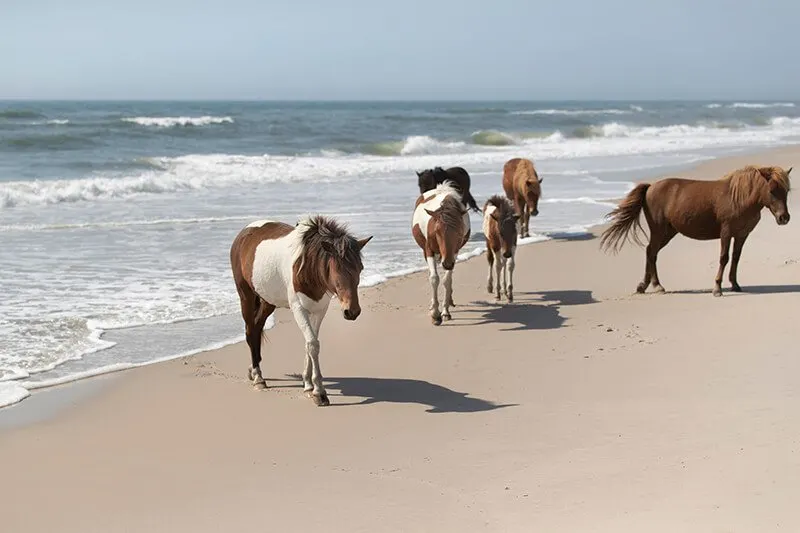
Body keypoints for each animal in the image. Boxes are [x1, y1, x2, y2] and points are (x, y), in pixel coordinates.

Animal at [228, 214, 372, 406]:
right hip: (246, 295)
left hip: (268, 301)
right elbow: (312, 344)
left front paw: (308, 385)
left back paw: (253, 370)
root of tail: (244, 233)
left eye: (360, 268)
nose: (352, 311)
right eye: (336, 269)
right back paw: (258, 377)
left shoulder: (319, 310)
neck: (308, 268)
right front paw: (319, 392)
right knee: (251, 330)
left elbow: (310, 344)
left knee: (257, 328)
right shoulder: (299, 309)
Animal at [412, 181, 468, 324]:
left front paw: (445, 312)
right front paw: (435, 314)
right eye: (437, 231)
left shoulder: (454, 253)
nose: (447, 264)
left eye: (459, 231)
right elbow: (434, 278)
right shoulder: (429, 251)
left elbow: (447, 280)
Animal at [600, 166, 792, 296]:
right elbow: (724, 258)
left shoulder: (741, 234)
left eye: (786, 190)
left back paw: (645, 286)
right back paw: (656, 285)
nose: (784, 218)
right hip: (659, 230)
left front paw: (735, 284)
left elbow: (736, 258)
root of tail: (651, 187)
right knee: (651, 252)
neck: (740, 198)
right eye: (771, 190)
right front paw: (717, 288)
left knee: (650, 252)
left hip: (668, 232)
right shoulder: (726, 232)